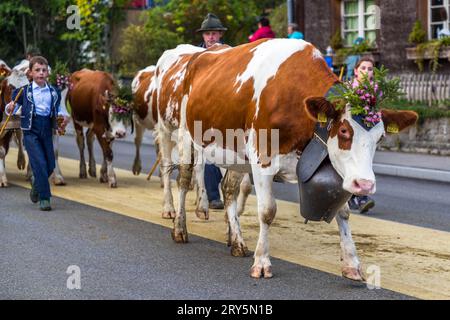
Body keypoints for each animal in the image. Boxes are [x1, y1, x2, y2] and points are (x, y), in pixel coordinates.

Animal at [154, 40, 418, 280]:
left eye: (380, 137)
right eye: (344, 131)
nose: (365, 184)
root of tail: (200, 54)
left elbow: (342, 212)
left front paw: (352, 264)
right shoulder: (262, 160)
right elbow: (267, 211)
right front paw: (262, 262)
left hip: (236, 154)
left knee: (228, 189)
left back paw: (236, 240)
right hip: (183, 135)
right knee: (184, 179)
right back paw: (179, 228)